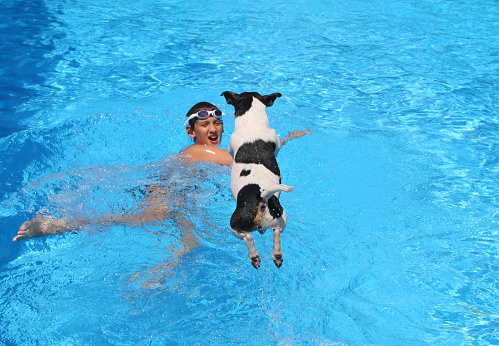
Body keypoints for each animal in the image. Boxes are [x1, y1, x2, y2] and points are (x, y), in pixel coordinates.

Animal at [222, 90, 292, 268]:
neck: (252, 122)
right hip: (281, 218)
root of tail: (261, 195)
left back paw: (254, 257)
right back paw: (277, 255)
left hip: (235, 225)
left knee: (247, 237)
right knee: (277, 233)